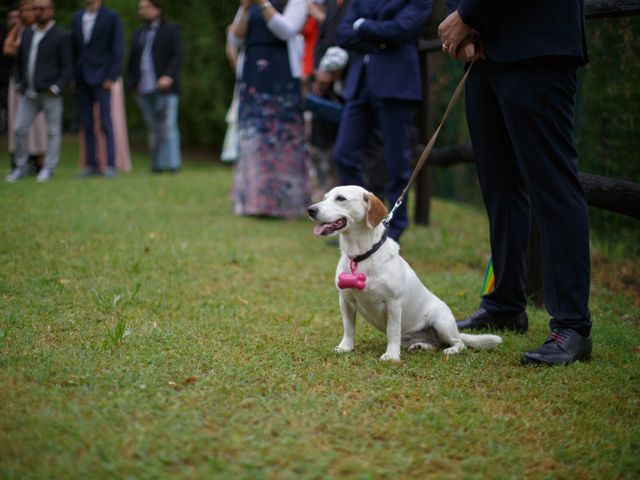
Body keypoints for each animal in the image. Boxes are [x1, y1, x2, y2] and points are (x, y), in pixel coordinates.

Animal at [308, 186, 502, 362]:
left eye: (341, 198)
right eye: (325, 197)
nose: (310, 210)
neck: (361, 256)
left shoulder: (393, 303)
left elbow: (392, 332)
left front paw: (391, 355)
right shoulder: (345, 300)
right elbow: (349, 328)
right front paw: (345, 347)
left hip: (441, 320)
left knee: (458, 343)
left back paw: (451, 350)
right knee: (436, 344)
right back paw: (421, 346)